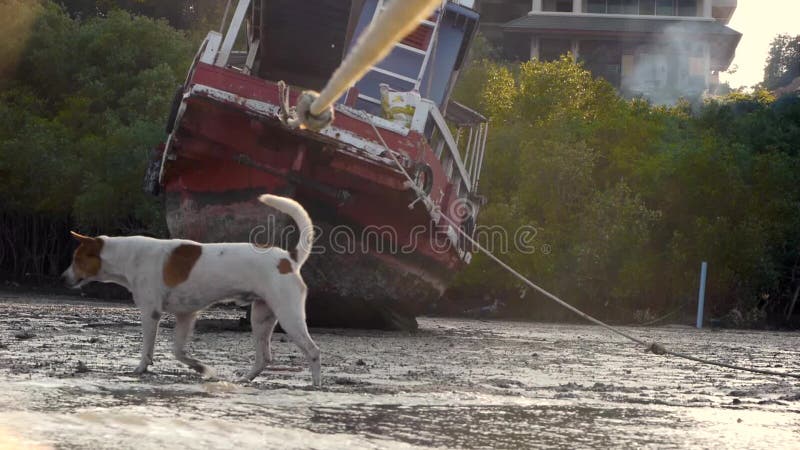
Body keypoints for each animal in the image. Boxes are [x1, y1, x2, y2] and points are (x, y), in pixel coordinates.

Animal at [61, 193, 322, 386]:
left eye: (76, 260)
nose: (62, 278)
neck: (127, 255)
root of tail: (289, 259)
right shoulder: (186, 315)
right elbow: (178, 352)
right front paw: (201, 368)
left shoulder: (150, 313)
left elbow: (147, 349)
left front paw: (140, 368)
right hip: (261, 318)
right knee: (264, 358)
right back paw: (245, 379)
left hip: (289, 317)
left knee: (313, 351)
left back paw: (316, 385)